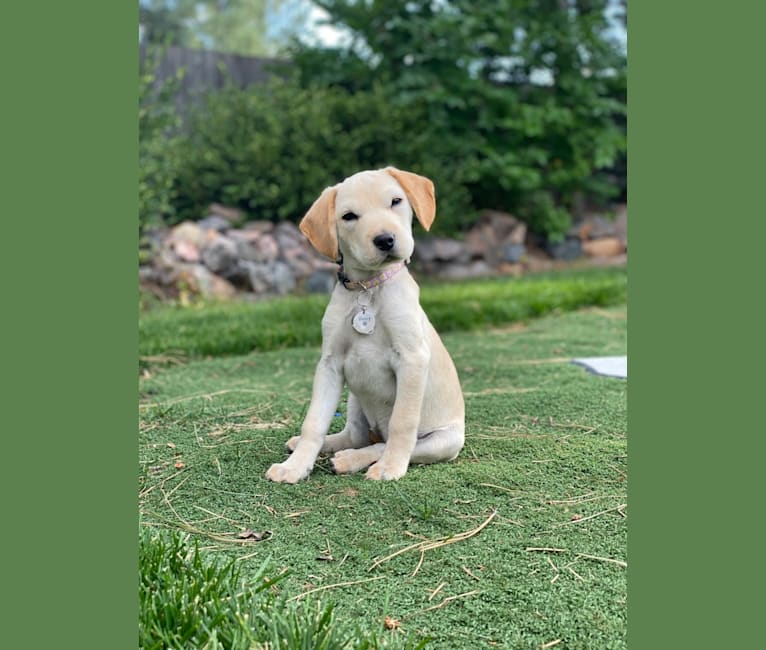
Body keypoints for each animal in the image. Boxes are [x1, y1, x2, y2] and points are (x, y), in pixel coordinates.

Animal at [268, 167, 464, 480]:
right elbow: (314, 422)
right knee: (356, 435)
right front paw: (295, 467)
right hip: (356, 400)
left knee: (383, 444)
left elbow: (402, 422)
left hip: (443, 441)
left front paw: (390, 467)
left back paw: (354, 460)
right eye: (349, 216)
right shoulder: (330, 363)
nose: (385, 240)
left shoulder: (412, 358)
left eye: (396, 201)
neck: (368, 290)